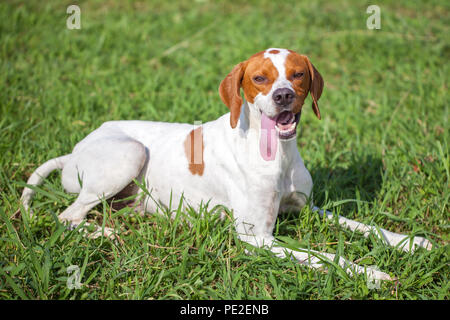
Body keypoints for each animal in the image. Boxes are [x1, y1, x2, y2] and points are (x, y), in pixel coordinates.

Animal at [22, 48, 432, 282]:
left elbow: (364, 226)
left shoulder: (307, 208)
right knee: (67, 216)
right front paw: (371, 272)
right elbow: (322, 254)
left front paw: (410, 242)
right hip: (130, 153)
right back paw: (103, 233)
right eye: (259, 78)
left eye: (297, 74)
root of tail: (76, 149)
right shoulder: (256, 238)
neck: (276, 153)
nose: (283, 95)